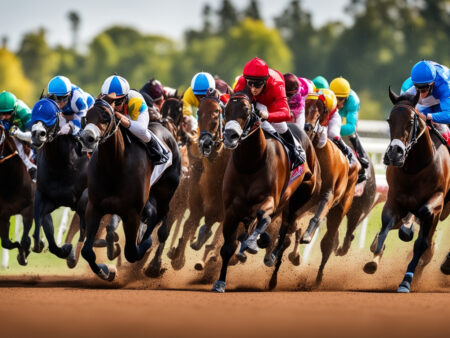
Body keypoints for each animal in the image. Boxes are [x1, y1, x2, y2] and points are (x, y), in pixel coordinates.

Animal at [79, 99, 181, 280]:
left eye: (105, 117)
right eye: (86, 117)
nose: (87, 138)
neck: (114, 165)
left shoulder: (131, 213)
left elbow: (132, 252)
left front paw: (144, 245)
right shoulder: (94, 207)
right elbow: (87, 251)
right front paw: (105, 270)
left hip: (166, 191)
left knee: (161, 220)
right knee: (153, 214)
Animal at [212, 92, 320, 294]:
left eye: (246, 110)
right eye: (226, 110)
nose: (230, 136)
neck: (251, 164)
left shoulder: (269, 200)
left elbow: (263, 217)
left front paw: (252, 243)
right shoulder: (231, 210)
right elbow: (227, 248)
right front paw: (220, 282)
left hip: (299, 197)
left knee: (284, 234)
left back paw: (272, 267)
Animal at [300, 96, 360, 284]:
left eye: (321, 111)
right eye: (304, 107)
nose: (307, 127)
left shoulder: (328, 195)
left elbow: (318, 219)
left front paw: (307, 235)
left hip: (340, 208)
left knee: (327, 242)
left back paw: (319, 278)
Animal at [364, 88, 450, 292]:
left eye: (411, 122)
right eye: (389, 120)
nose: (394, 153)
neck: (415, 167)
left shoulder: (436, 201)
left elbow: (421, 243)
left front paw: (406, 281)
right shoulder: (394, 200)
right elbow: (386, 227)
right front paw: (374, 259)